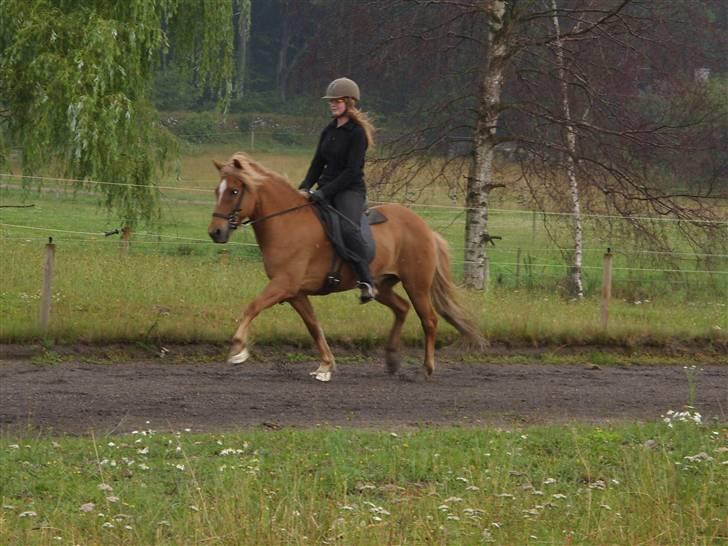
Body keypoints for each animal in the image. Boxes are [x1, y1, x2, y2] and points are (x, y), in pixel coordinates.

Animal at [208, 151, 480, 380]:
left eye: (234, 191)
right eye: (217, 191)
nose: (215, 232)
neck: (288, 222)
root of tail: (425, 228)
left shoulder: (283, 284)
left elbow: (253, 307)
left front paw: (238, 349)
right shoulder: (295, 292)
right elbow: (313, 326)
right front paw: (326, 365)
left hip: (417, 285)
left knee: (429, 320)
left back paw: (426, 368)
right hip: (382, 285)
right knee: (402, 308)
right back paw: (392, 359)